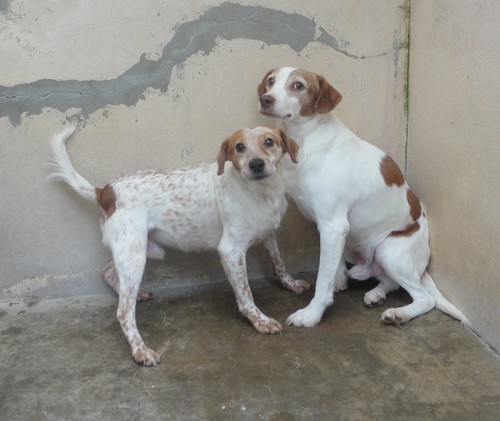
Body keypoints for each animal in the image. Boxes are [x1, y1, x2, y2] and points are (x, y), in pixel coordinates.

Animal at [48, 125, 306, 364]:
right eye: (239, 147)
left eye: (269, 141)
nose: (256, 164)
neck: (263, 191)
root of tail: (105, 191)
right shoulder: (231, 251)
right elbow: (245, 294)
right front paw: (260, 320)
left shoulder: (268, 234)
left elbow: (279, 262)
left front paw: (290, 283)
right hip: (134, 255)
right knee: (123, 311)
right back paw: (140, 350)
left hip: (137, 250)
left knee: (108, 272)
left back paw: (136, 294)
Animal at [258, 66, 468, 328]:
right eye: (271, 81)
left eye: (298, 85)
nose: (265, 99)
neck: (307, 139)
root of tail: (424, 258)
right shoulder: (334, 229)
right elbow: (334, 266)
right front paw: (339, 281)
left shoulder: (333, 226)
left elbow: (322, 279)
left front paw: (311, 314)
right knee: (390, 282)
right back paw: (376, 294)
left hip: (388, 250)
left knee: (425, 298)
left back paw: (398, 313)